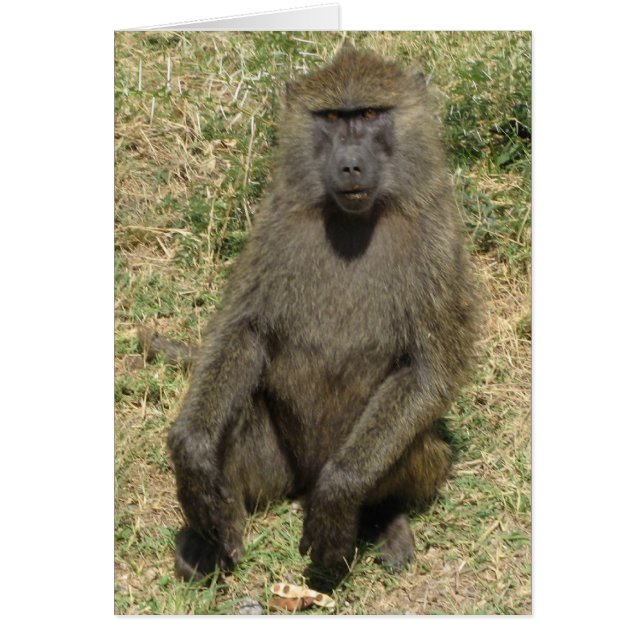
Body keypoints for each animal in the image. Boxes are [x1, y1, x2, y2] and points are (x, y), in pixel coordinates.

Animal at [164, 42, 480, 582]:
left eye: (370, 114)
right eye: (332, 117)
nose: (350, 165)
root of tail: (303, 482)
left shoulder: (437, 242)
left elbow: (430, 370)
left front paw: (337, 505)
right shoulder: (275, 224)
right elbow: (241, 333)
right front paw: (194, 461)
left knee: (414, 440)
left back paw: (381, 518)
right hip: (276, 465)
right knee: (241, 406)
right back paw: (211, 534)